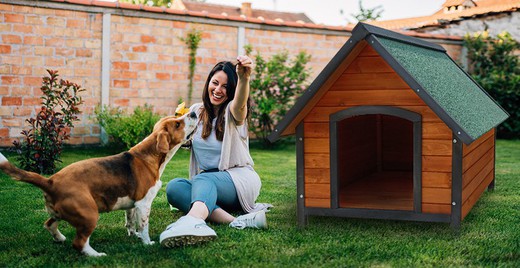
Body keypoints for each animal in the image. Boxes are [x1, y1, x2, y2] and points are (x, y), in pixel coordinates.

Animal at [0, 112, 197, 256]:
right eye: (177, 124)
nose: (194, 113)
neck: (150, 156)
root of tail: (50, 181)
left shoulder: (132, 205)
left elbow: (130, 223)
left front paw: (133, 235)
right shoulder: (143, 204)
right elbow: (144, 227)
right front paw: (147, 243)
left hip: (59, 213)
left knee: (49, 224)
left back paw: (59, 238)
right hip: (90, 215)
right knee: (78, 243)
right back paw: (96, 255)